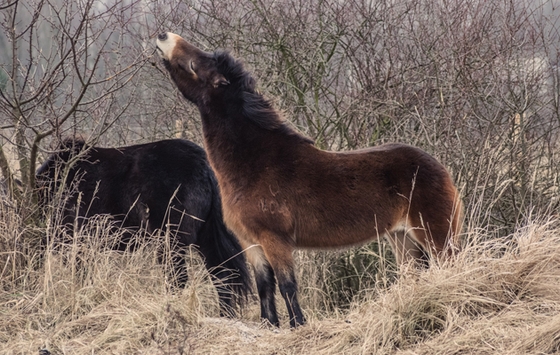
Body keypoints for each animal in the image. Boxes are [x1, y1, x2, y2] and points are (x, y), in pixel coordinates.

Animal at [36, 138, 250, 316]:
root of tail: (204, 164)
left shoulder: (77, 245)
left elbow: (81, 277)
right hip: (206, 237)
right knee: (222, 275)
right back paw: (225, 315)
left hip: (170, 241)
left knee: (179, 279)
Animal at [155, 32, 462, 328]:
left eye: (195, 64)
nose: (163, 36)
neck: (255, 163)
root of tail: (441, 170)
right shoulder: (252, 243)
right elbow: (265, 287)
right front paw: (271, 325)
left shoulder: (274, 240)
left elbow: (287, 286)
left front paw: (298, 325)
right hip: (402, 239)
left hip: (437, 237)